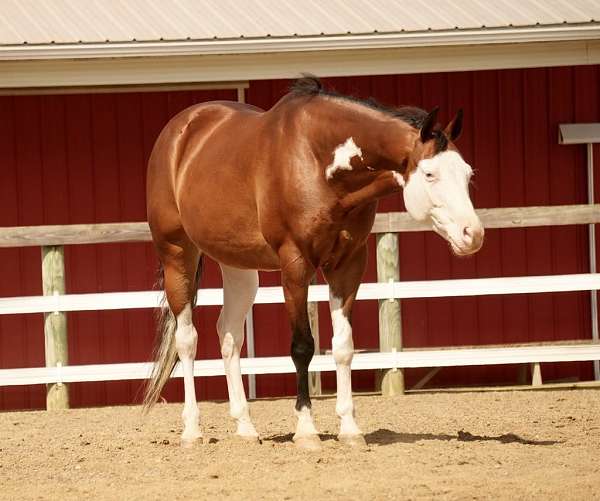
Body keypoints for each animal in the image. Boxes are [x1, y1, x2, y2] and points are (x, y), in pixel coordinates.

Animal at [143, 77, 486, 450]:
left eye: (467, 173)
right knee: (187, 340)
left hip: (238, 265)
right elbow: (302, 346)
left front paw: (350, 429)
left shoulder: (348, 265)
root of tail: (179, 131)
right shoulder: (296, 264)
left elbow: (343, 346)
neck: (316, 162)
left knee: (229, 335)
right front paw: (306, 430)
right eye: (429, 173)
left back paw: (246, 428)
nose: (473, 234)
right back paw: (192, 431)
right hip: (177, 254)